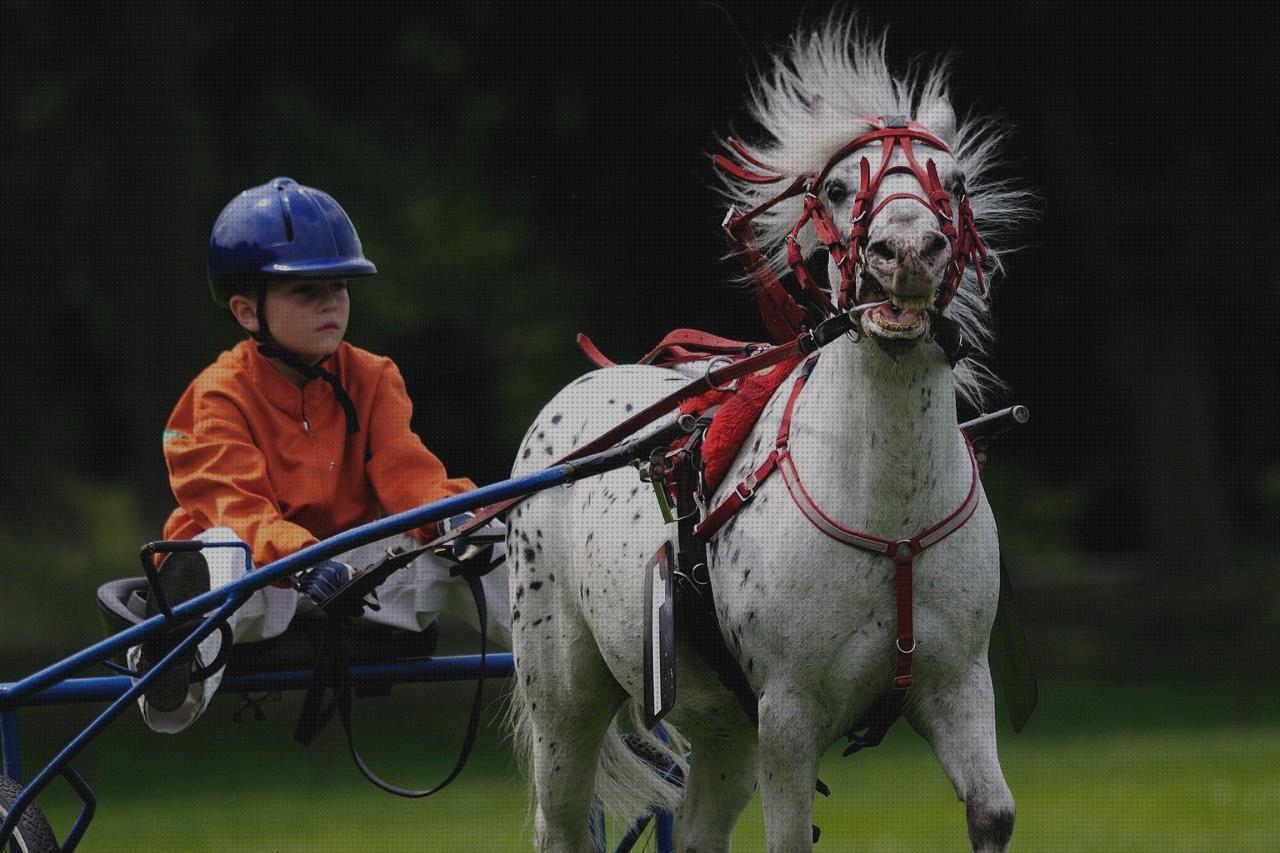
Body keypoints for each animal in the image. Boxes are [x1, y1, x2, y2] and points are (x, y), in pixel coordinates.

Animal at [504, 14, 1034, 850]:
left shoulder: (957, 684)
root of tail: (575, 395)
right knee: (559, 819)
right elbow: (788, 835)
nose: (907, 252)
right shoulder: (788, 712)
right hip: (565, 699)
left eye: (952, 184)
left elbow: (992, 812)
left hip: (724, 731)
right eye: (842, 188)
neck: (891, 509)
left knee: (695, 831)